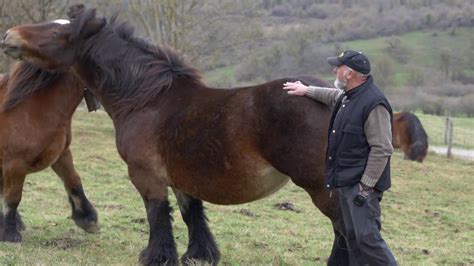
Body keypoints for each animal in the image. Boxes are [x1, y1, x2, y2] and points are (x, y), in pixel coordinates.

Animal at [0, 61, 99, 242]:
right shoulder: (15, 162)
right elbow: (13, 197)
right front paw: (10, 234)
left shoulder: (61, 153)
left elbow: (73, 180)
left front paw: (88, 218)